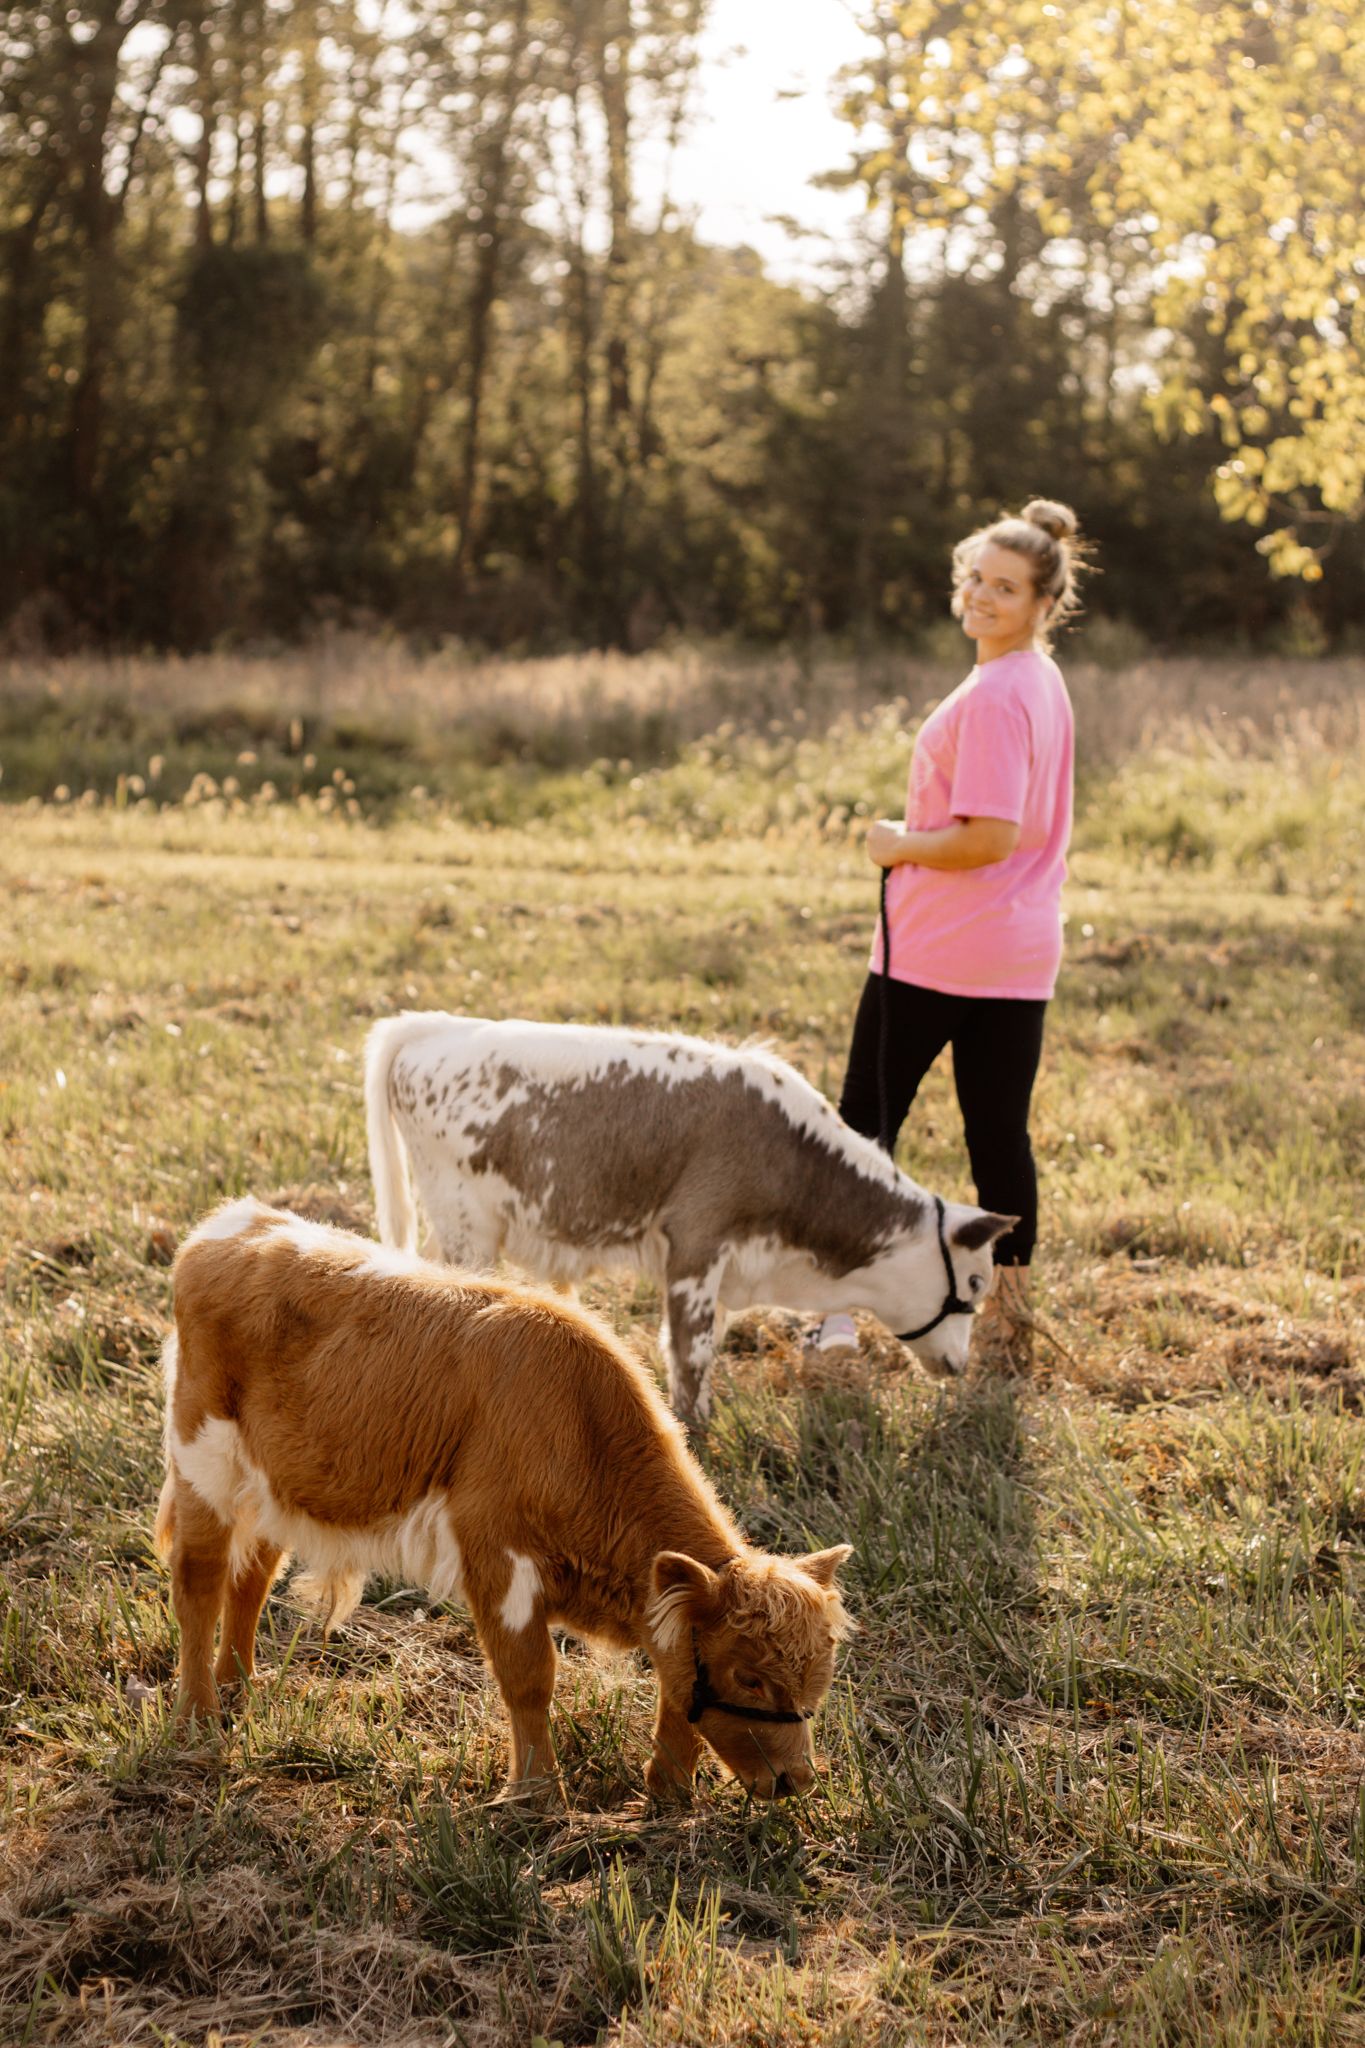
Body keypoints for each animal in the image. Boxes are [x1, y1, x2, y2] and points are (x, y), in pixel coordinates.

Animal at [155, 1197, 852, 1804]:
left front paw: (670, 1794)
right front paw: (538, 1796)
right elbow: (530, 1677)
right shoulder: (497, 1555)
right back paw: (197, 1717)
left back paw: (238, 1690)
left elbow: (678, 1689)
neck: (582, 1426)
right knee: (199, 1583)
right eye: (750, 1676)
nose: (797, 1781)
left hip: (273, 1482)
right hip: (203, 1462)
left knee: (251, 1578)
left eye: (818, 1674)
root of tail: (241, 1221)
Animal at [364, 1012, 1014, 1436]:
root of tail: (435, 1026)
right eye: (975, 1283)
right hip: (468, 1225)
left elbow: (702, 1346)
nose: (960, 1365)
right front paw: (694, 1435)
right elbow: (691, 1350)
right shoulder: (697, 1245)